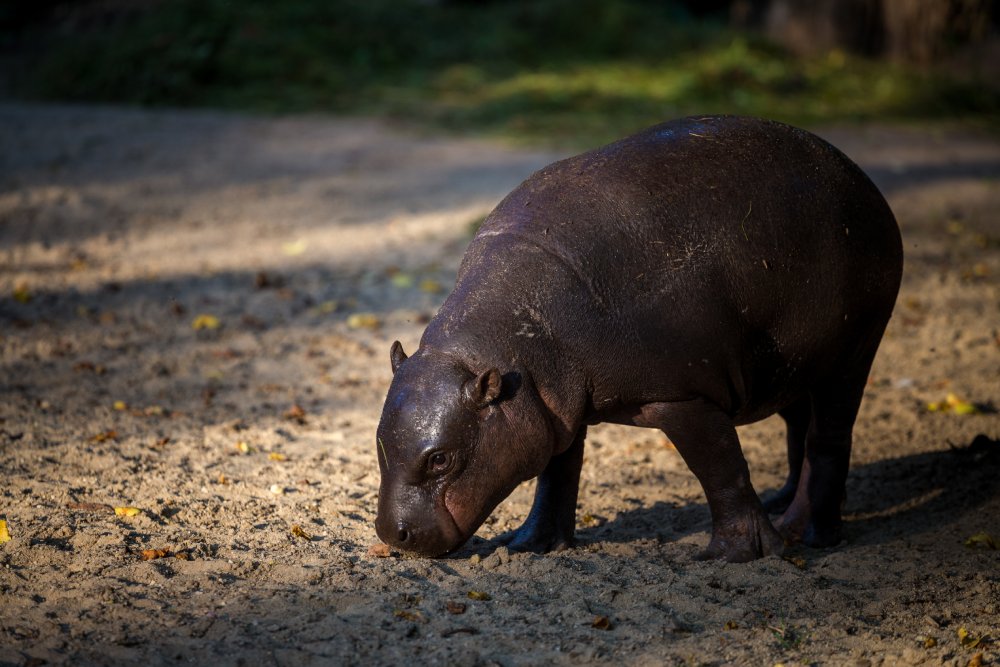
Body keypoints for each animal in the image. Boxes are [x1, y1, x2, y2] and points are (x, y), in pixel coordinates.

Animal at [374, 115, 903, 562]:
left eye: (440, 459)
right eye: (378, 443)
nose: (390, 534)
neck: (499, 352)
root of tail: (857, 176)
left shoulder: (680, 397)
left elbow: (723, 468)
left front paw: (731, 555)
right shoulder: (552, 409)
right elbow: (556, 477)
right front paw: (529, 545)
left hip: (853, 351)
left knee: (829, 438)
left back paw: (807, 535)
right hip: (790, 366)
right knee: (799, 427)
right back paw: (783, 507)